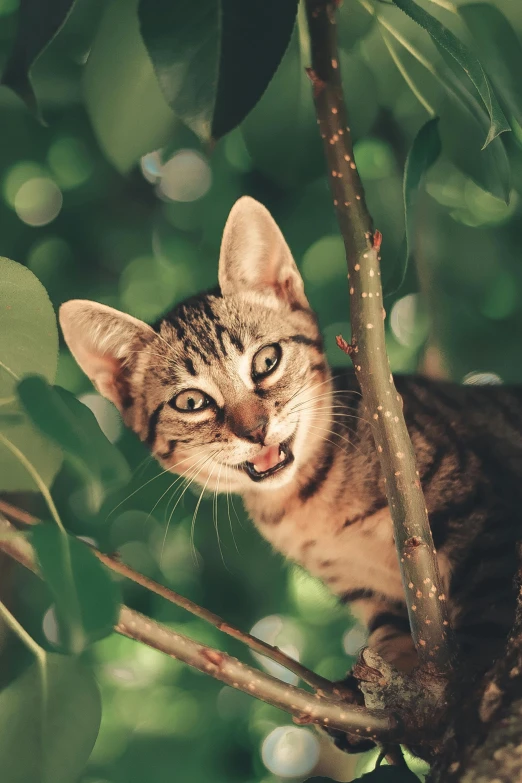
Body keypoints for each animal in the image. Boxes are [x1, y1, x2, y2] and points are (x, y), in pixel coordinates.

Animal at [59, 198, 520, 688]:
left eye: (266, 360)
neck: (308, 508)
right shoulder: (374, 596)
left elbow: (486, 611)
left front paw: (468, 694)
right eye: (191, 401)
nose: (255, 428)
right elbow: (390, 650)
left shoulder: (481, 512)